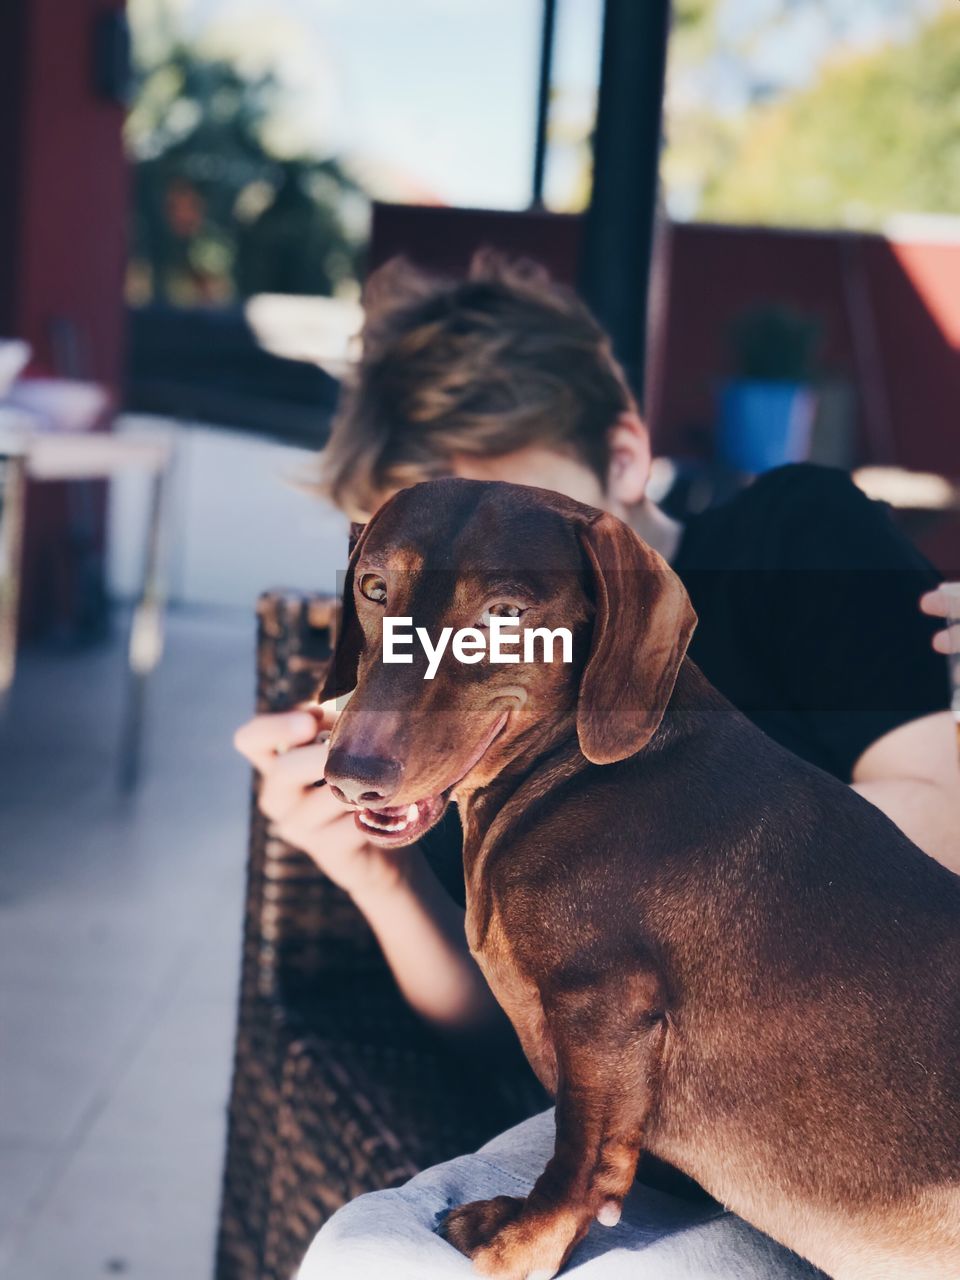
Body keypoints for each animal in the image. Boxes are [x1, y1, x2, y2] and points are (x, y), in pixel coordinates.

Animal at [321, 481, 960, 1280]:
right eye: (375, 589)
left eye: (504, 613)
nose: (352, 777)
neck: (574, 769)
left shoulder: (605, 1005)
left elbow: (580, 1151)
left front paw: (526, 1242)